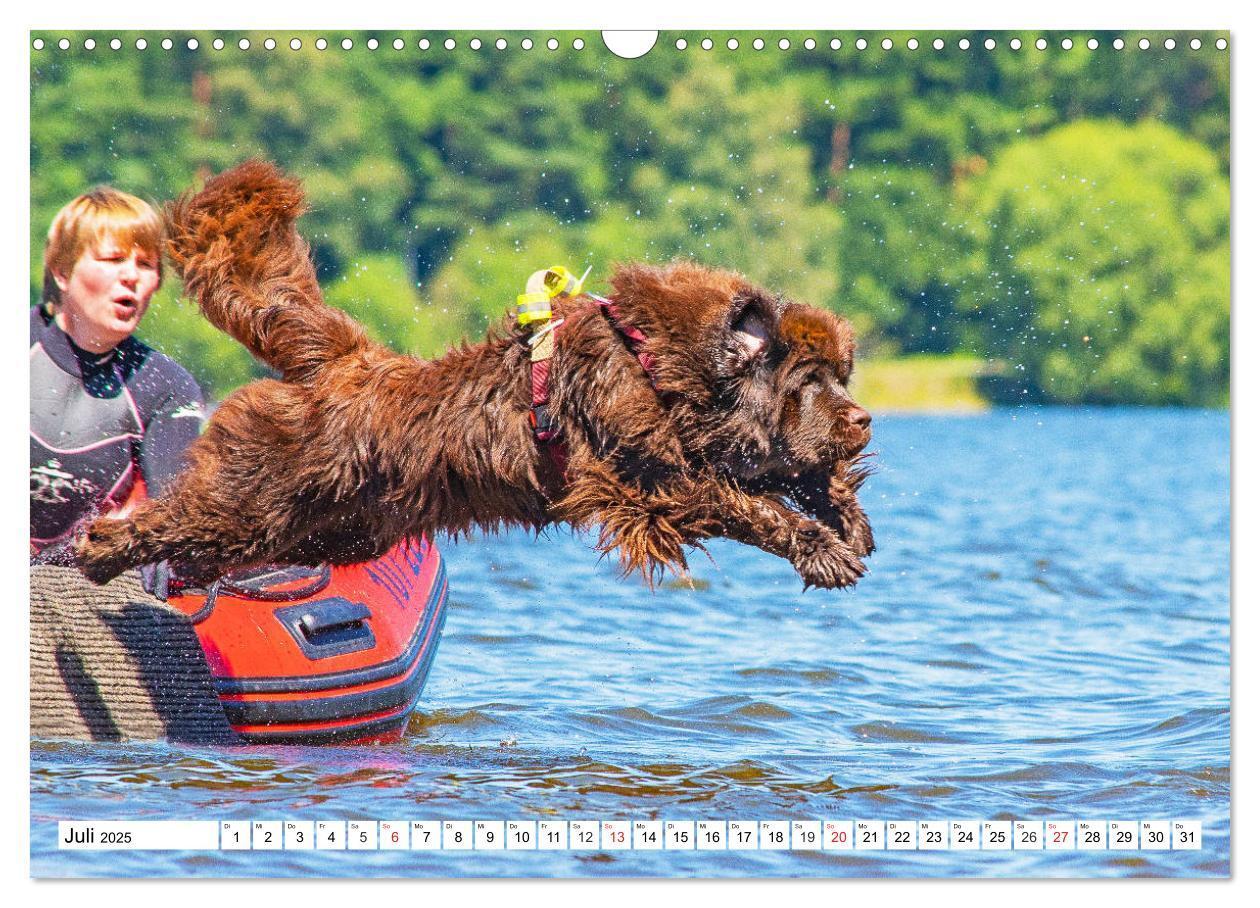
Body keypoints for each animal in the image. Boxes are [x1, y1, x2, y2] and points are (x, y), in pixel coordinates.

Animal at [73, 161, 871, 586]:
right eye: (810, 382)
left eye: (845, 376)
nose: (864, 419)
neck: (659, 363)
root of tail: (346, 361)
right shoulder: (645, 476)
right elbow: (741, 502)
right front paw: (822, 547)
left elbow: (784, 473)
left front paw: (847, 520)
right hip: (256, 489)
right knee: (181, 517)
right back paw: (101, 551)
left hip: (329, 527)